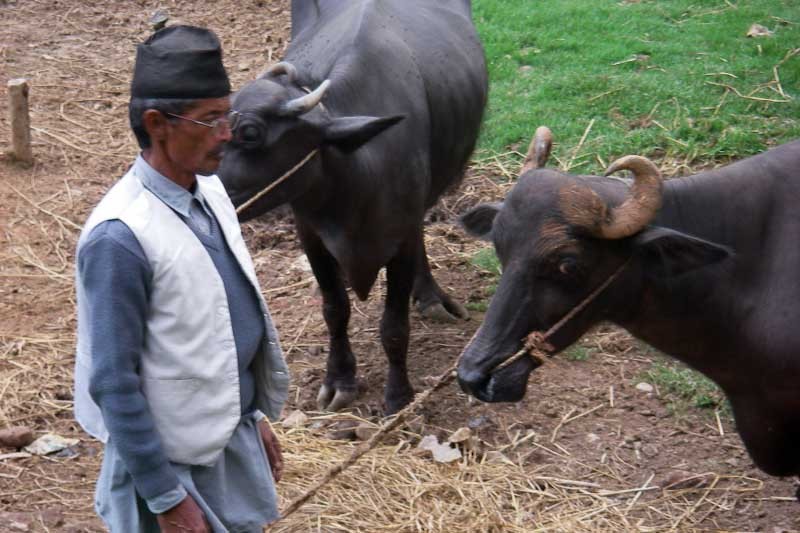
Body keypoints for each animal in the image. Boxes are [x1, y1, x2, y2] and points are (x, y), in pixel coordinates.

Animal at [216, 0, 488, 414]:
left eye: (250, 133)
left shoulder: (400, 239)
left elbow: (394, 325)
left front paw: (398, 395)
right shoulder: (311, 237)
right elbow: (335, 309)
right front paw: (339, 380)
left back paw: (429, 297)